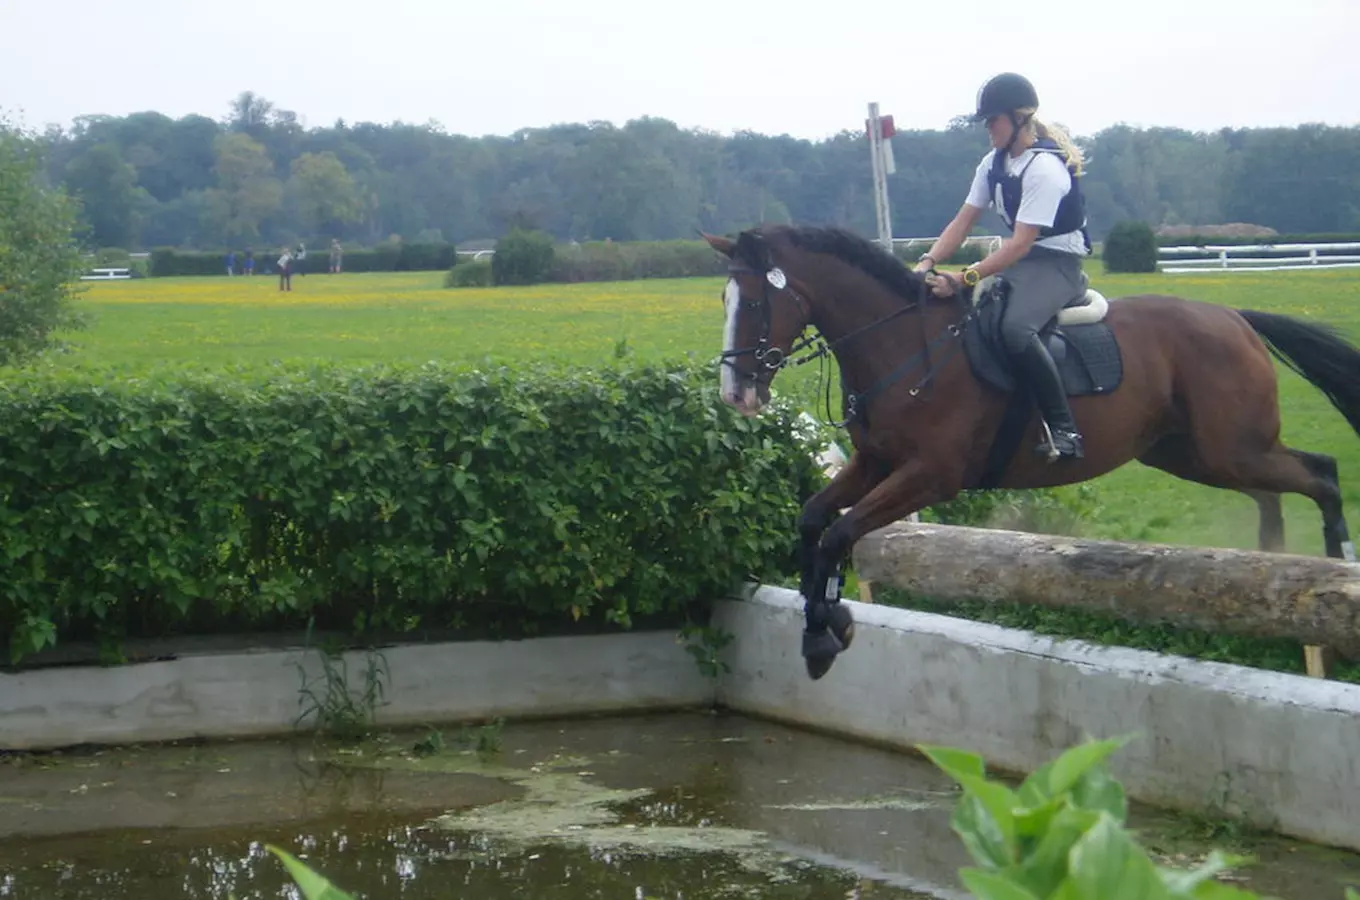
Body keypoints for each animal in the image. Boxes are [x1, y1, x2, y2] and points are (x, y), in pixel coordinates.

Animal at [701, 224, 1360, 677]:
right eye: (725, 303)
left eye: (754, 303)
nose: (735, 394)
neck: (901, 346)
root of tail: (1233, 316)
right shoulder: (875, 463)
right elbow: (813, 519)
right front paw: (822, 627)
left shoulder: (930, 475)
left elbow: (839, 533)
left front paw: (825, 632)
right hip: (1190, 453)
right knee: (1282, 488)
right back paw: (1278, 559)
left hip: (1230, 448)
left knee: (1322, 475)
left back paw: (1337, 568)